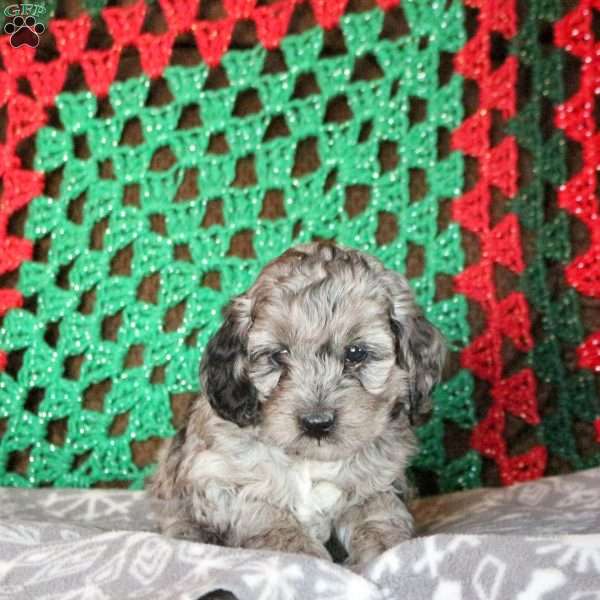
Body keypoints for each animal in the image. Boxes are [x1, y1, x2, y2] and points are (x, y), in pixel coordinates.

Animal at [151, 241, 446, 568]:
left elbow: (378, 513)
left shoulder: (381, 483)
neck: (309, 461)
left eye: (356, 353)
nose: (317, 423)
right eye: (278, 355)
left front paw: (386, 549)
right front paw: (303, 553)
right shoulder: (220, 478)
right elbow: (269, 517)